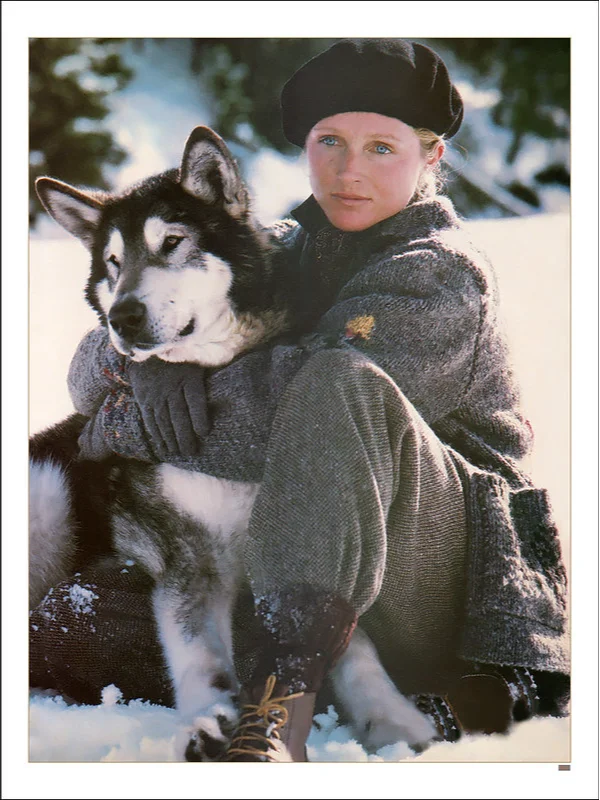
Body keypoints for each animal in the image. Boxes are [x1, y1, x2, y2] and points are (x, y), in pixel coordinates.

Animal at [31, 128, 436, 760]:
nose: (122, 316)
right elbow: (197, 647)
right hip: (48, 501)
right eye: (113, 263)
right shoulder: (188, 558)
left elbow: (350, 642)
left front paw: (393, 721)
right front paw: (206, 718)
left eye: (173, 243)